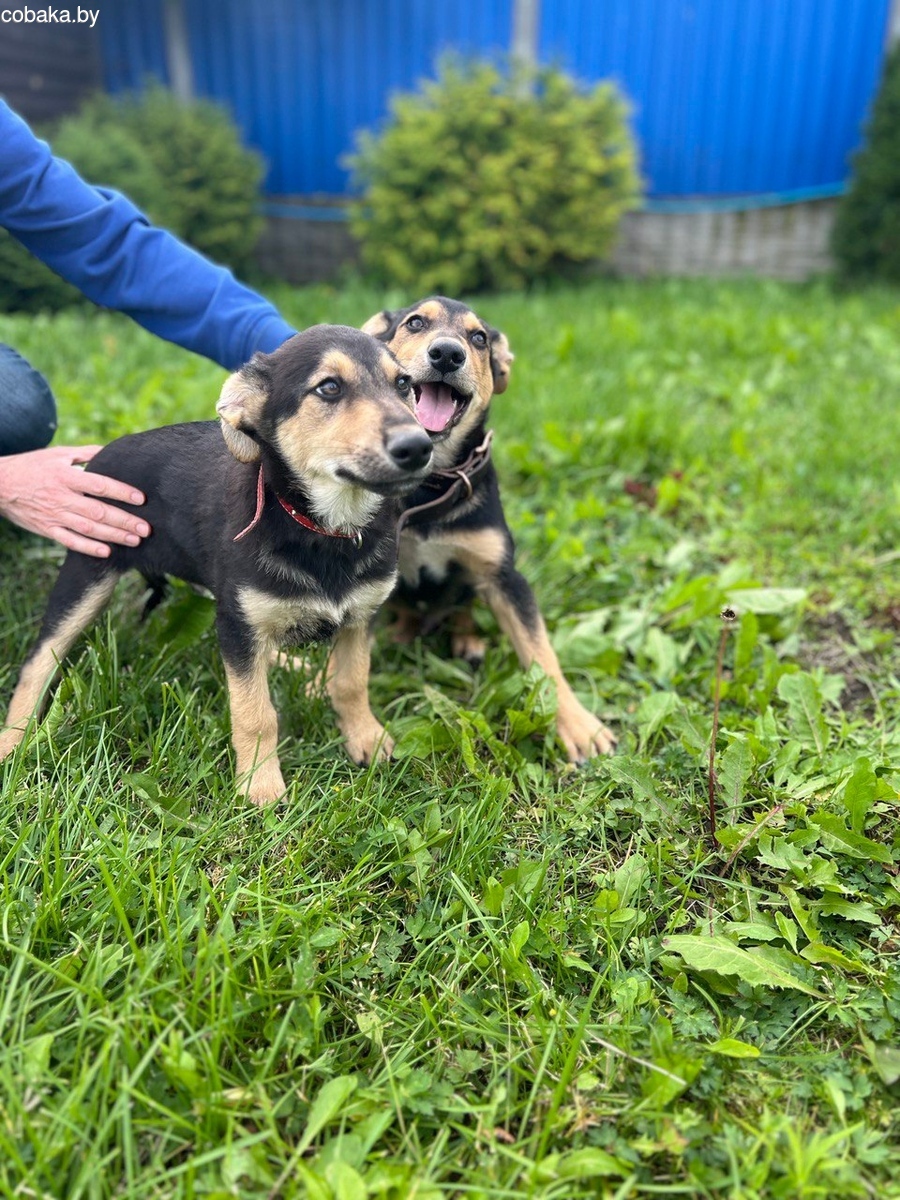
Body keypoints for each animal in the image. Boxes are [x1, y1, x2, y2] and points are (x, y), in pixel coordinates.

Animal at [0, 324, 434, 801]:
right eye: (330, 388)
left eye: (404, 385)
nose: (419, 447)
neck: (325, 529)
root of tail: (98, 459)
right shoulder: (239, 625)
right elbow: (255, 712)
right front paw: (260, 788)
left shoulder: (360, 616)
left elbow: (352, 682)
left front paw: (367, 740)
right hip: (88, 569)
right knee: (39, 660)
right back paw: (13, 741)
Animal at [362, 296, 619, 763]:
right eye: (414, 323)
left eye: (479, 338)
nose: (448, 353)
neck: (430, 485)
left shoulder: (504, 576)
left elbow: (543, 656)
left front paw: (578, 725)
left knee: (461, 609)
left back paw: (468, 642)